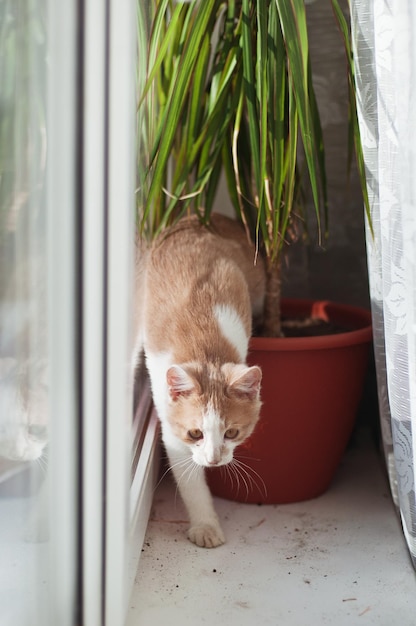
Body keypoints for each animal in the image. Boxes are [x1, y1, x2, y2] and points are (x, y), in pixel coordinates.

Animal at [136, 213, 266, 544]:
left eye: (232, 432)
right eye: (195, 433)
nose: (213, 460)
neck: (205, 351)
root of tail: (201, 216)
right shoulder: (170, 426)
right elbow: (190, 480)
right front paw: (206, 526)